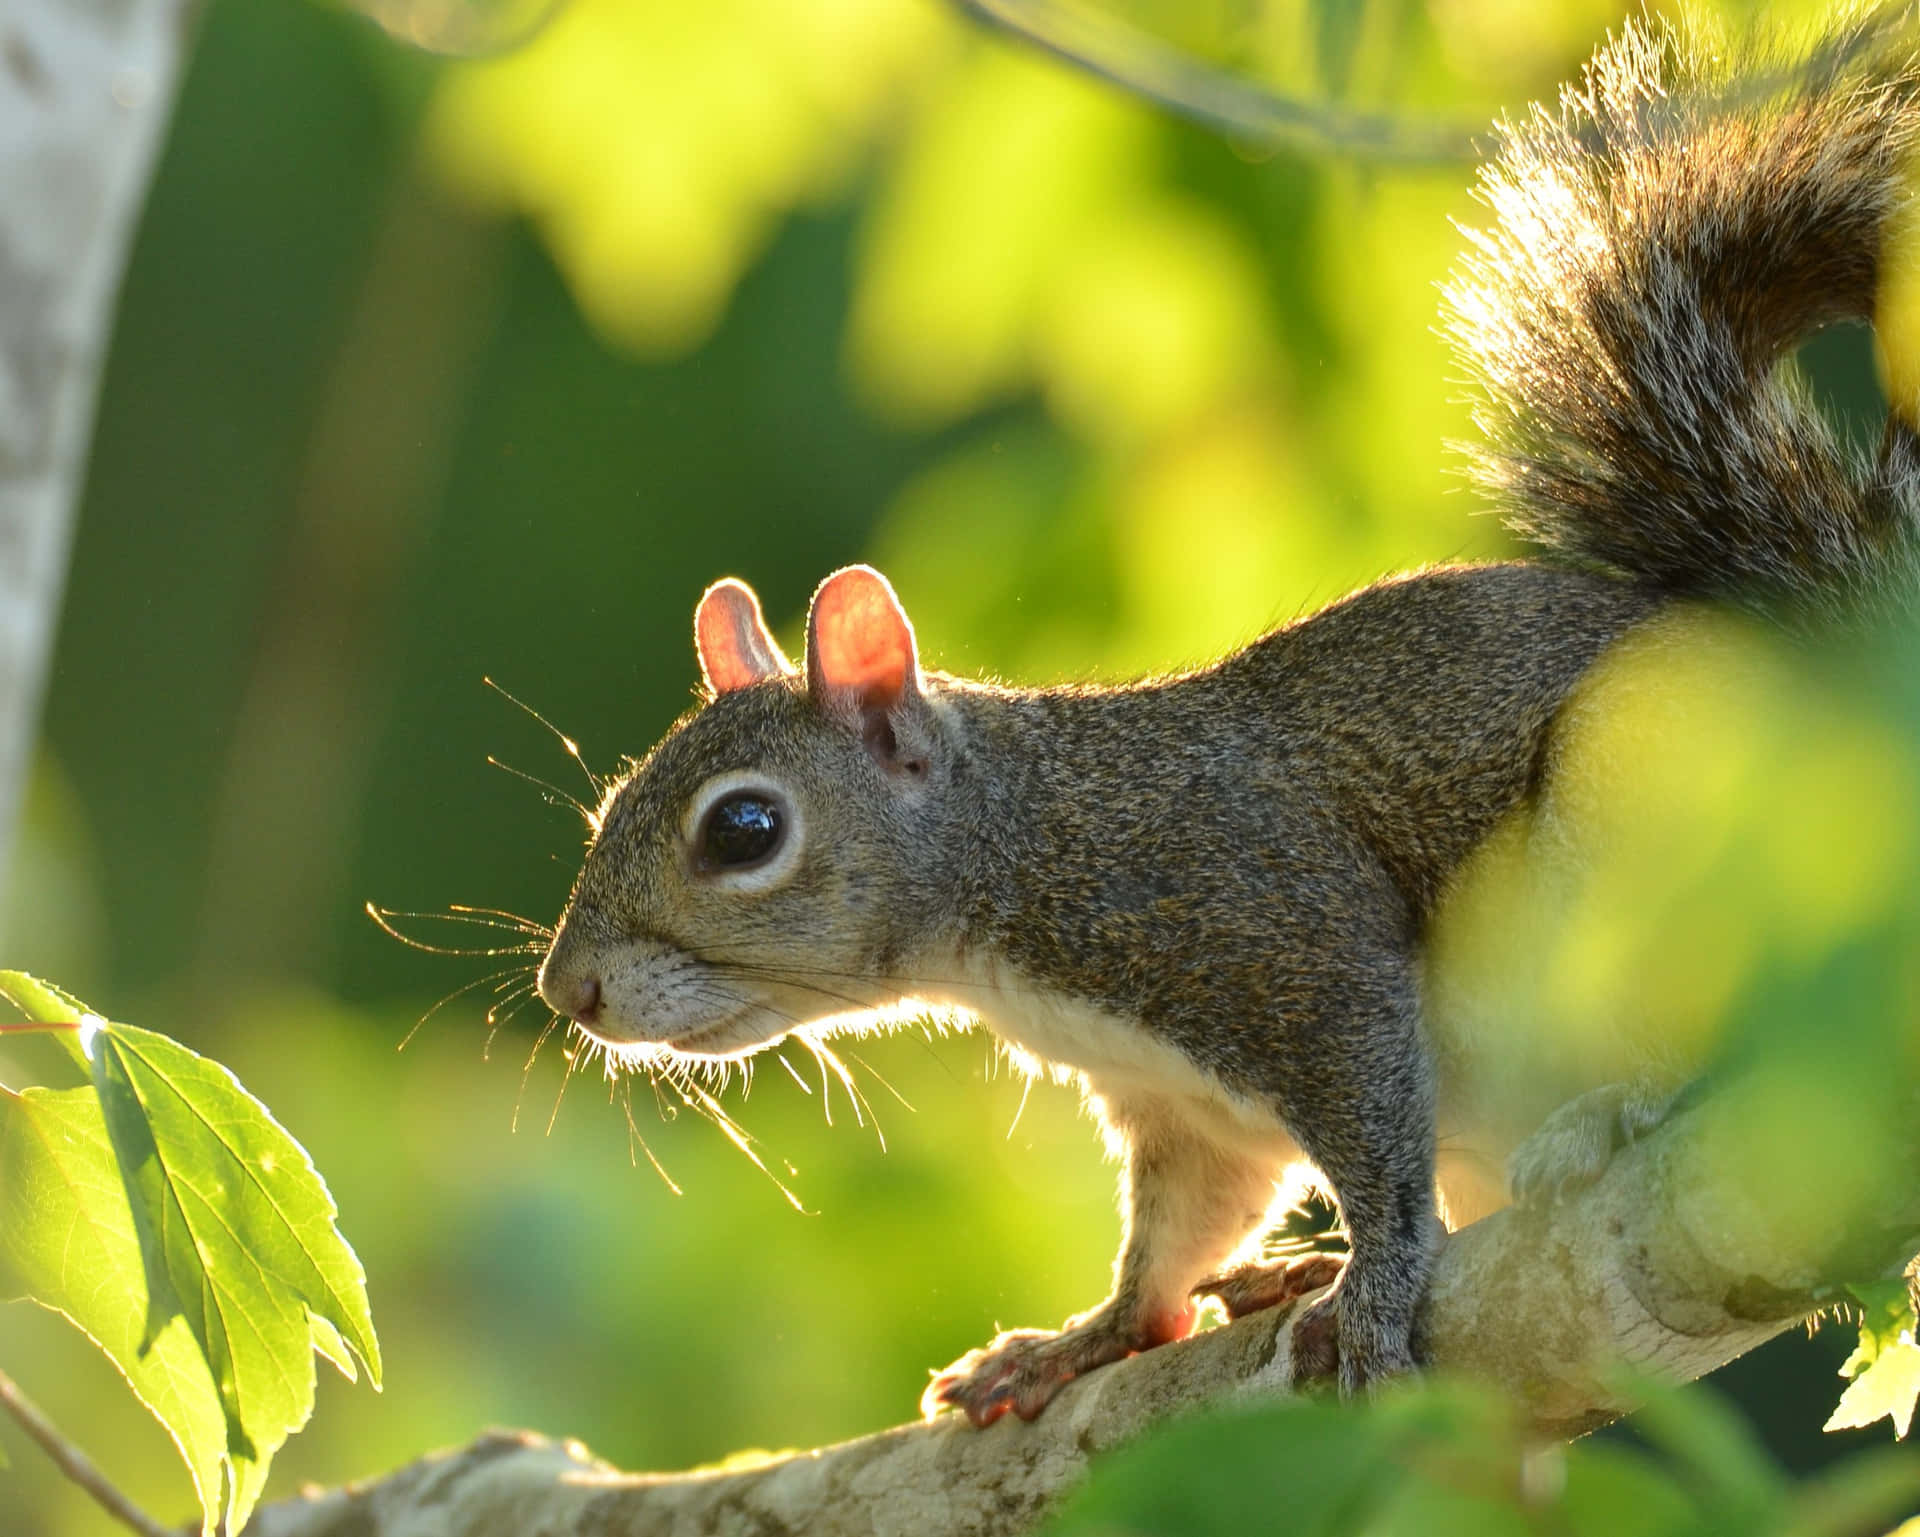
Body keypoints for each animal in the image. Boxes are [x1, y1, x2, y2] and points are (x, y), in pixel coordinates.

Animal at [537, 17, 1920, 1419]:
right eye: (606, 807)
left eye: (744, 829)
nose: (569, 992)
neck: (1018, 855)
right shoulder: (1181, 1108)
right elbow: (1181, 1226)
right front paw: (1083, 1337)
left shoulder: (1272, 931)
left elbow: (1373, 1132)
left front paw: (1372, 1288)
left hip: (1661, 847)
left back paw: (1603, 1119)